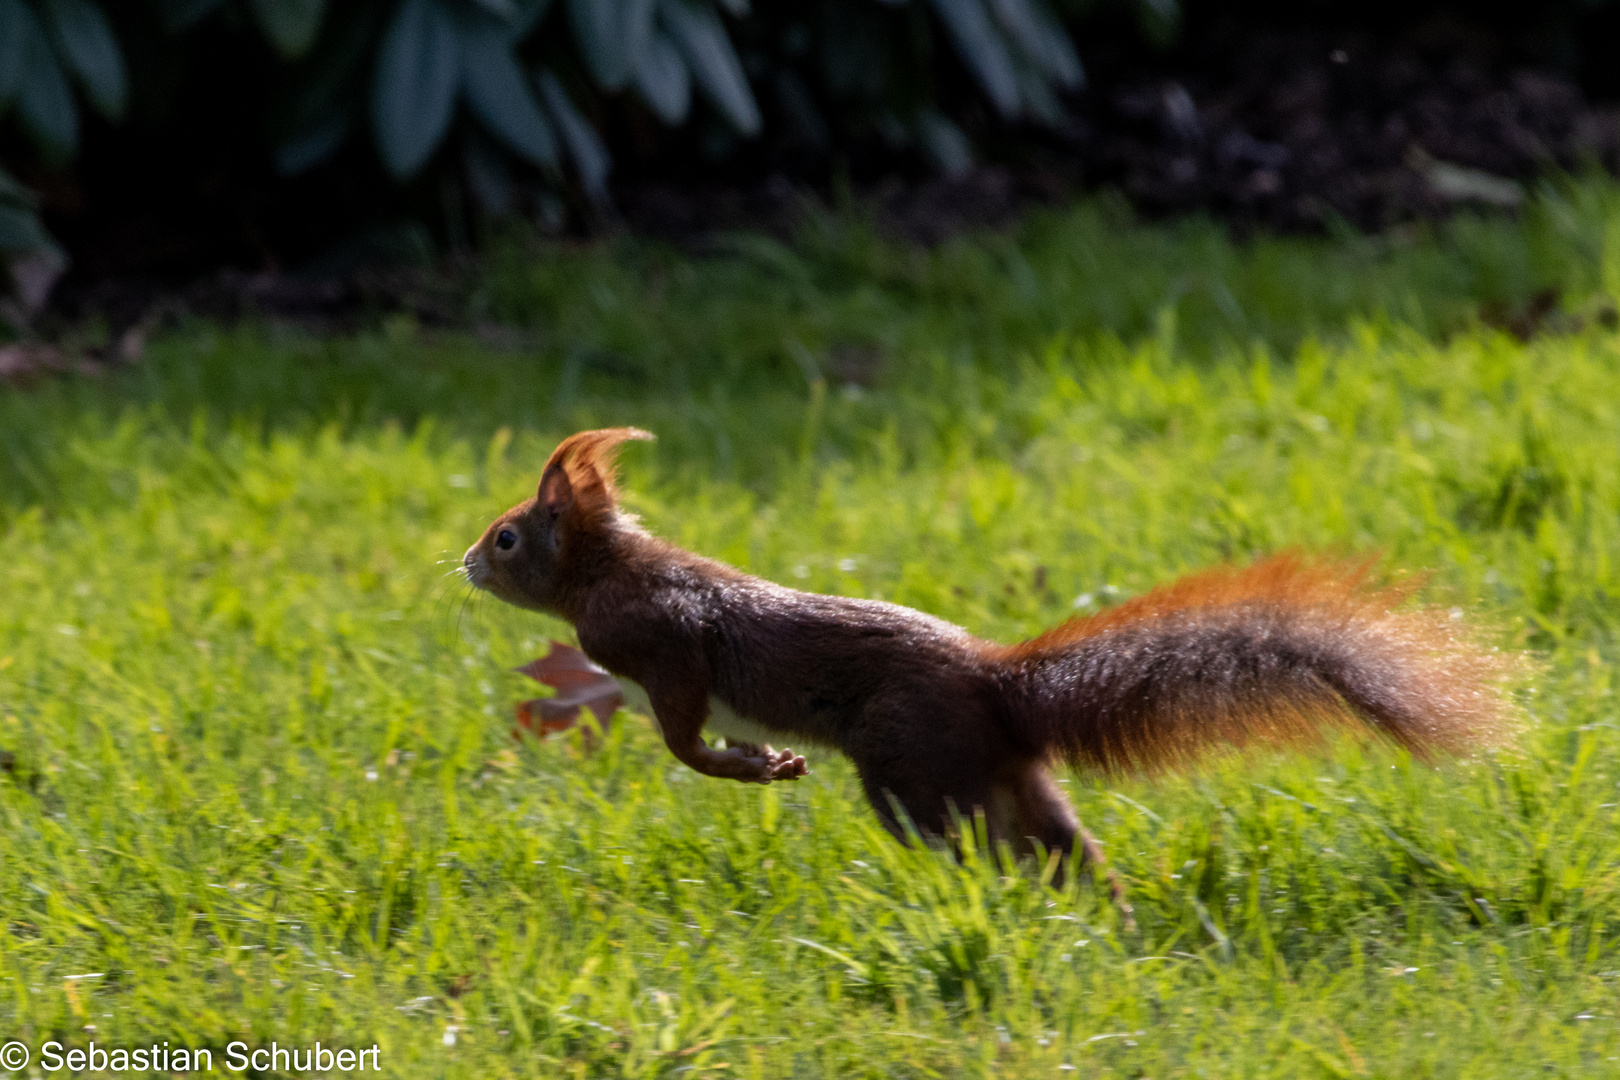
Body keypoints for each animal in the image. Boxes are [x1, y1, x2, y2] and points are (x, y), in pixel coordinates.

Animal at [466, 427, 1516, 874]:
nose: (467, 562)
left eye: (510, 537)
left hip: (914, 772)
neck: (608, 571)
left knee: (970, 842)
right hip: (1010, 778)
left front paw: (755, 767)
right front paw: (761, 763)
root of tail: (995, 687)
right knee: (1063, 846)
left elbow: (686, 740)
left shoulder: (662, 644)